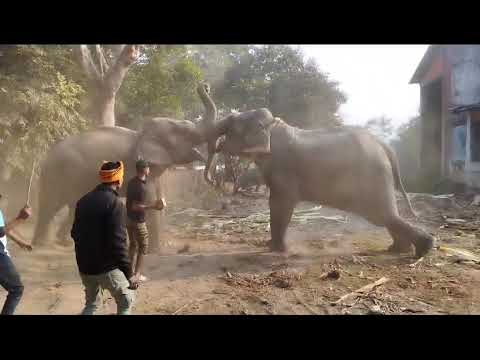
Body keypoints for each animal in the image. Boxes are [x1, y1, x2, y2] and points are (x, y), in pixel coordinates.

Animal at [31, 83, 216, 250]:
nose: (205, 85)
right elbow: (148, 199)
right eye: (187, 134)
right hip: (60, 172)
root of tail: (47, 156)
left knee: (68, 203)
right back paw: (43, 244)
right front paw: (155, 251)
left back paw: (61, 242)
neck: (142, 134)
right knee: (53, 203)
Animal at [208, 108, 436, 258]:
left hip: (373, 178)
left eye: (230, 126)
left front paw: (276, 249)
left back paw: (423, 249)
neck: (273, 125)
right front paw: (271, 246)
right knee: (386, 217)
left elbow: (282, 203)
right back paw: (400, 250)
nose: (217, 146)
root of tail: (383, 144)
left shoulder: (284, 168)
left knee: (381, 216)